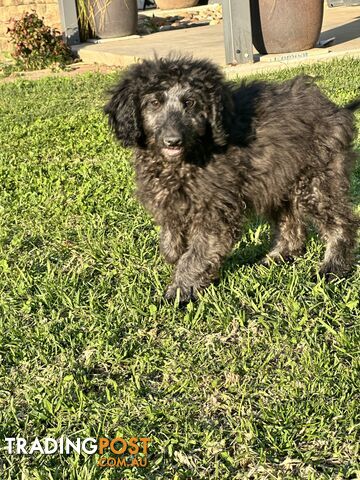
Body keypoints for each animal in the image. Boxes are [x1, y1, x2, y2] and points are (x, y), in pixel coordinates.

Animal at [105, 56, 358, 302]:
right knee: (291, 224)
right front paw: (174, 256)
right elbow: (171, 239)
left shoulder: (215, 212)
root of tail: (336, 110)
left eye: (190, 102)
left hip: (316, 181)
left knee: (341, 223)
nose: (173, 140)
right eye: (154, 103)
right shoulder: (171, 203)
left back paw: (333, 267)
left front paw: (178, 292)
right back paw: (277, 257)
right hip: (278, 182)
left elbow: (195, 255)